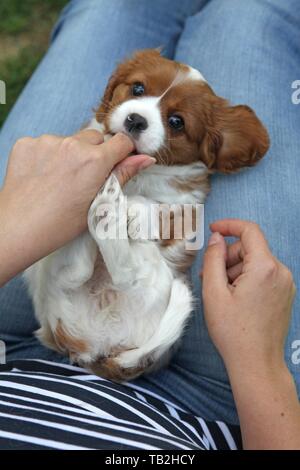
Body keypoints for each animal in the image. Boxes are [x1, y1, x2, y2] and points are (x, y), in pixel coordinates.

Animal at [25, 49, 270, 382]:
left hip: (154, 280)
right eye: (138, 89)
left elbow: (157, 209)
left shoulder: (186, 206)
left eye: (176, 122)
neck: (137, 175)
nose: (136, 119)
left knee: (122, 273)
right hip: (51, 284)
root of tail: (95, 350)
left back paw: (108, 207)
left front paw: (133, 208)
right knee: (76, 270)